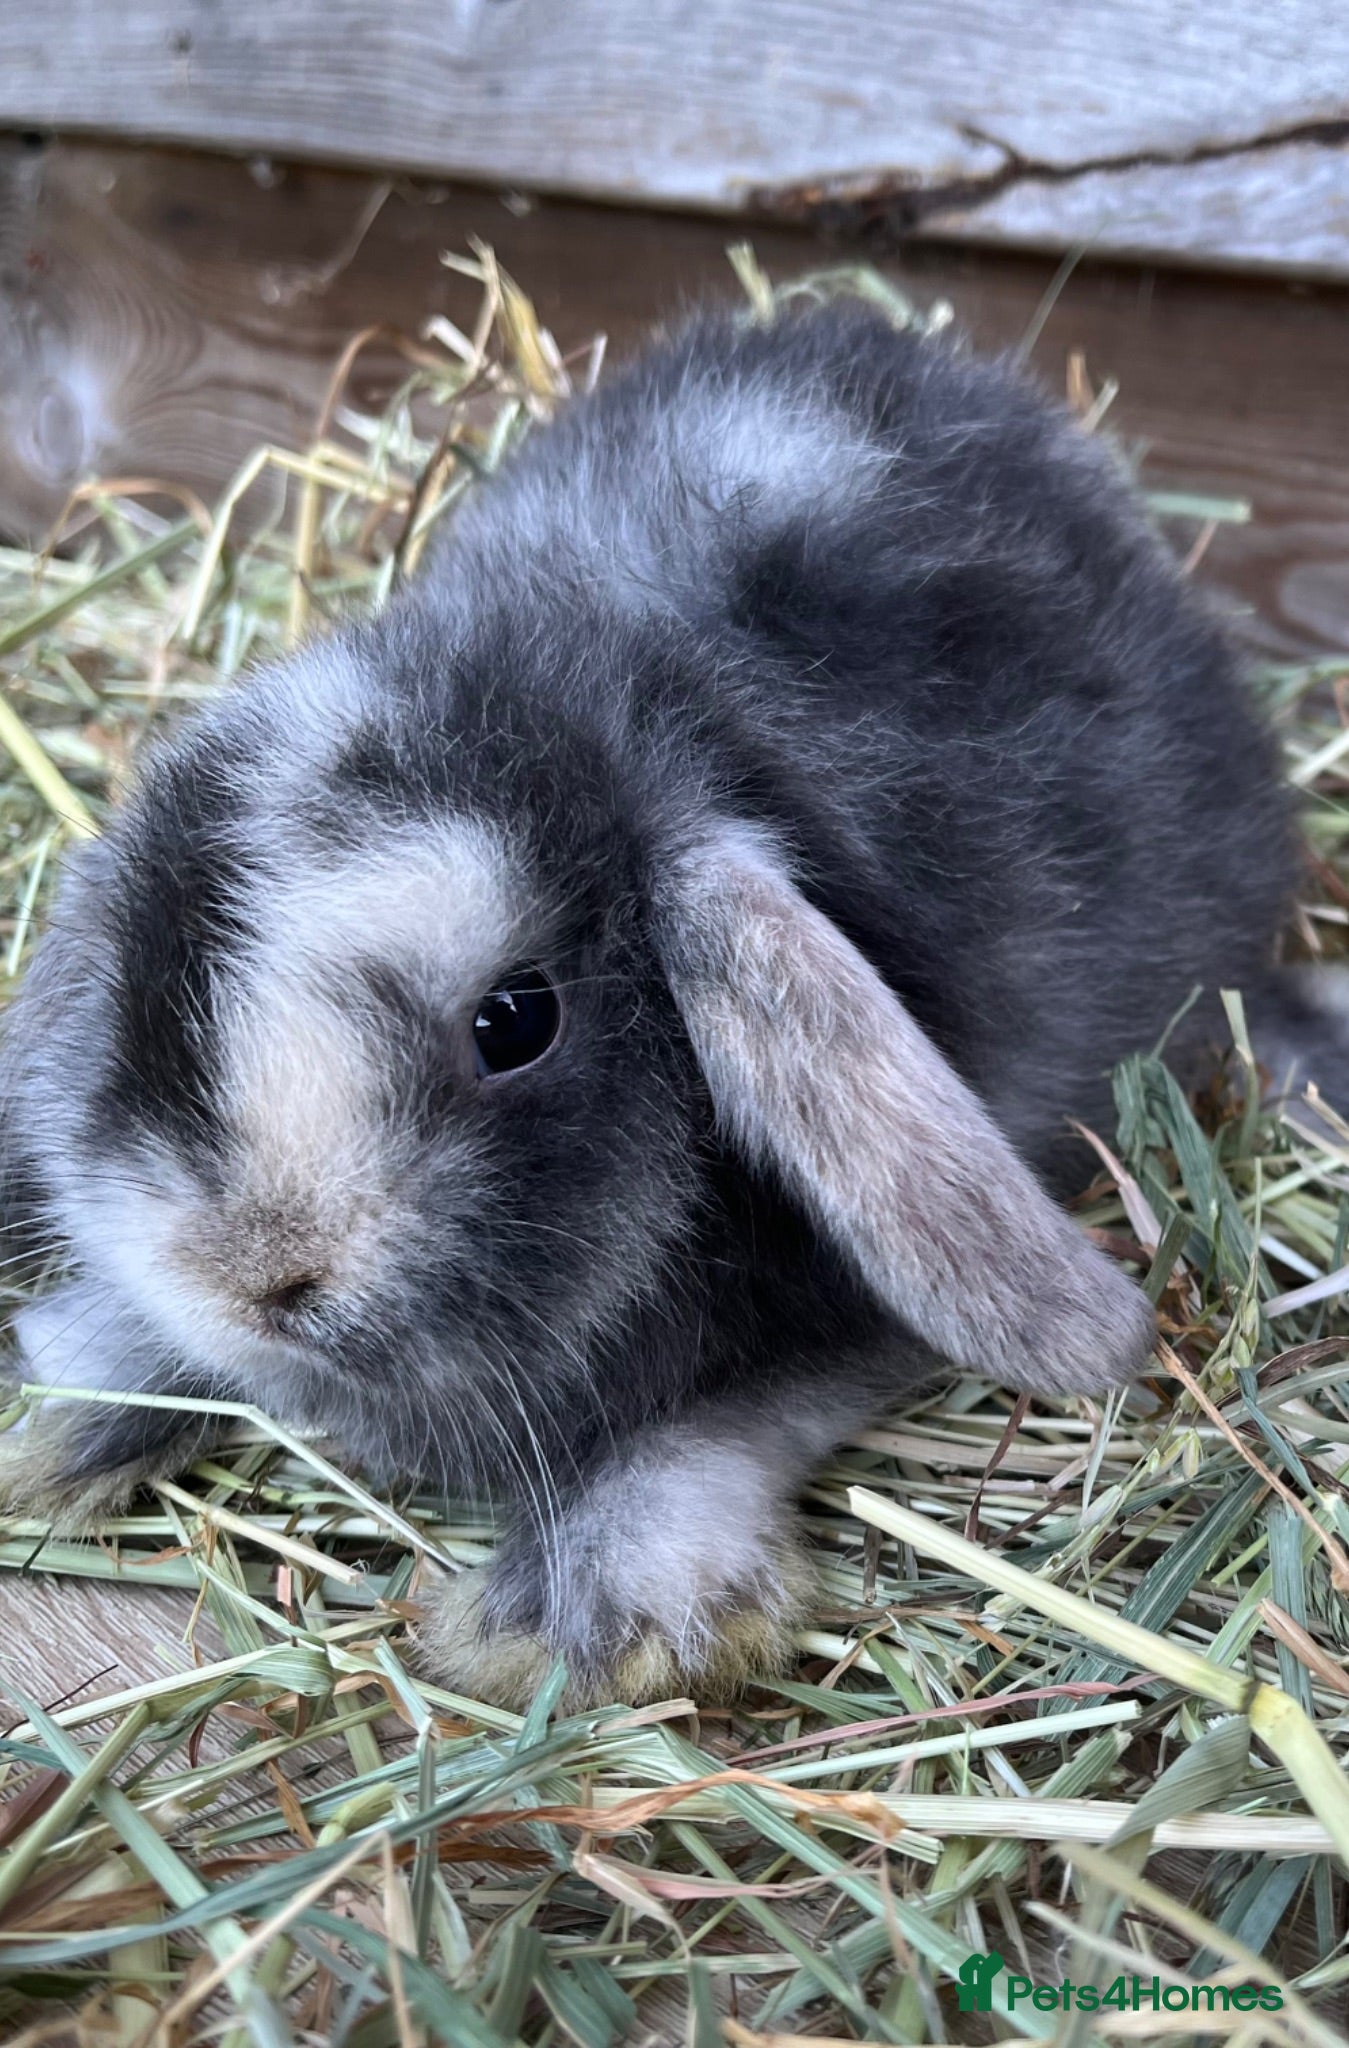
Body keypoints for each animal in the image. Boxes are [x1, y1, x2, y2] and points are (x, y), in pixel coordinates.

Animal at [0, 298, 1340, 1710]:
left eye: (515, 1020)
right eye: (146, 968)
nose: (256, 1271)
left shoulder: (845, 1324)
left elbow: (701, 1427)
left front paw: (596, 1620)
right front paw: (61, 1406)